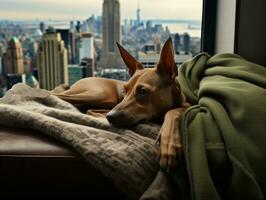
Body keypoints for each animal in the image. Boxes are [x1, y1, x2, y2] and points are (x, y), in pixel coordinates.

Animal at [51, 38, 189, 172]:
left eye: (142, 91)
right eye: (124, 91)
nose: (110, 117)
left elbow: (174, 111)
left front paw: (169, 142)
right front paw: (169, 146)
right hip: (101, 95)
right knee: (57, 94)